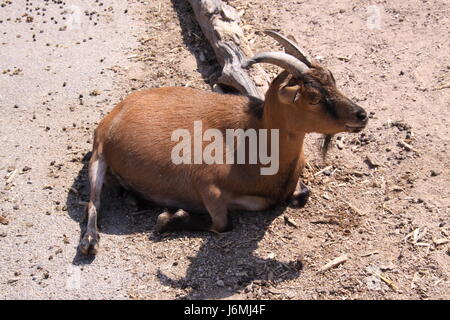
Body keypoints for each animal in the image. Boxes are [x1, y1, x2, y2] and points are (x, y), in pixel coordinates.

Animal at [79, 30, 368, 255]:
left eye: (333, 80)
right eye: (314, 98)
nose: (361, 115)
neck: (255, 141)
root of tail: (114, 114)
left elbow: (300, 194)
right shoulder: (207, 185)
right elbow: (222, 224)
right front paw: (169, 219)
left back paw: (132, 197)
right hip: (98, 158)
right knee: (94, 202)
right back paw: (90, 241)